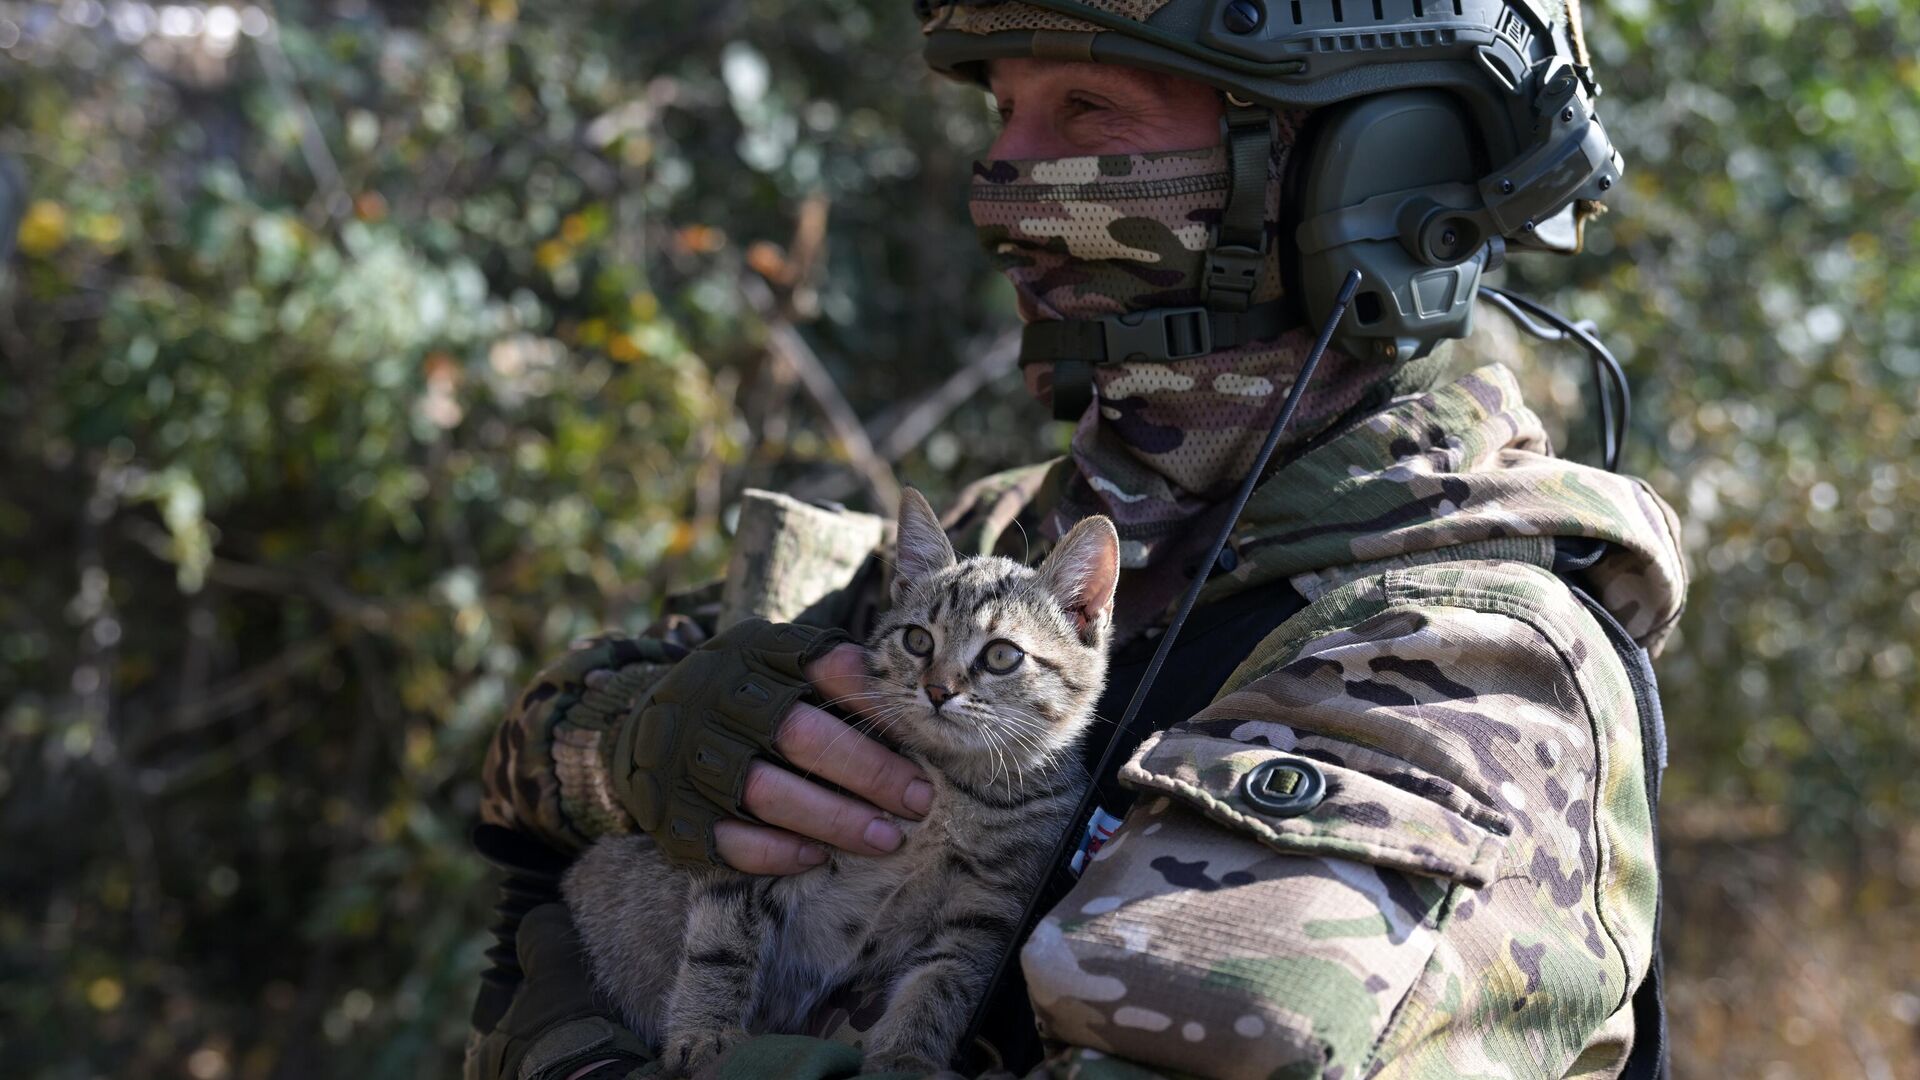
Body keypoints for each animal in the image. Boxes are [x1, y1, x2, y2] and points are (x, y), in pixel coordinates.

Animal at [560, 488, 1121, 1068]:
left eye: (1003, 655)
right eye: (918, 640)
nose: (938, 690)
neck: (953, 788)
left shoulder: (987, 911)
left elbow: (942, 982)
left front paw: (904, 1059)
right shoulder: (755, 847)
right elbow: (722, 945)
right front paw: (704, 1034)